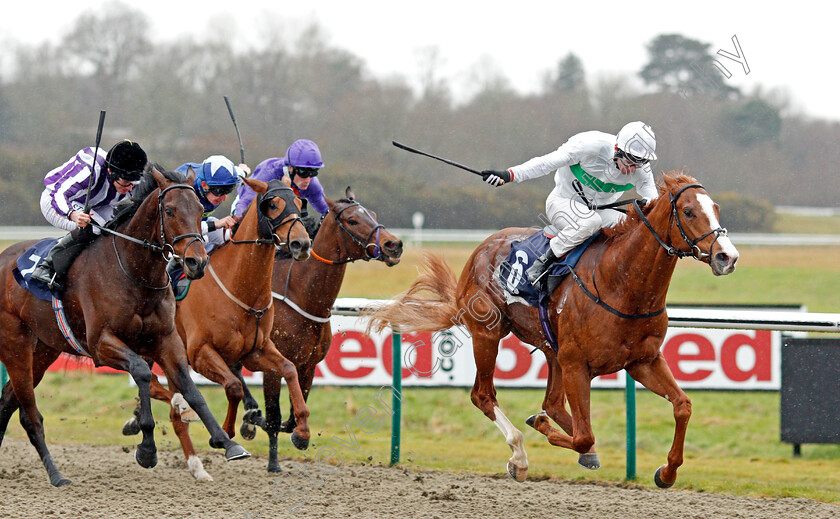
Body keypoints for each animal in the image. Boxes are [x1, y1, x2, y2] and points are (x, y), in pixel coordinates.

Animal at [0, 167, 248, 488]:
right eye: (169, 210)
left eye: (199, 210)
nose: (197, 263)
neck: (134, 272)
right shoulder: (101, 344)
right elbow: (142, 373)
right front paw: (147, 449)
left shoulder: (166, 340)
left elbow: (191, 389)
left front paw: (226, 441)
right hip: (15, 346)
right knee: (29, 416)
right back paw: (57, 476)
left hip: (43, 351)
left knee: (7, 402)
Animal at [126, 180, 316, 484]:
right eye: (273, 205)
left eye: (299, 204)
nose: (302, 244)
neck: (241, 289)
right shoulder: (201, 353)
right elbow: (234, 386)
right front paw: (224, 434)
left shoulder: (256, 351)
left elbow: (289, 369)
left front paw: (302, 430)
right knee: (153, 384)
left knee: (171, 409)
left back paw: (195, 462)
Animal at [235, 189, 406, 474]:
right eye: (352, 220)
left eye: (373, 214)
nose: (394, 245)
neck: (302, 295)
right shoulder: (273, 366)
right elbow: (274, 417)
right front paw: (273, 462)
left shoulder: (307, 365)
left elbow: (292, 418)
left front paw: (295, 434)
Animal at [364, 174, 740, 488]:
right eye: (689, 211)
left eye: (716, 209)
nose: (727, 256)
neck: (621, 283)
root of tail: (479, 251)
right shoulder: (578, 365)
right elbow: (584, 434)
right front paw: (542, 429)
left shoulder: (642, 361)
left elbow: (682, 405)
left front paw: (667, 471)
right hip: (489, 334)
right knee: (484, 395)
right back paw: (519, 455)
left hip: (552, 349)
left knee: (555, 404)